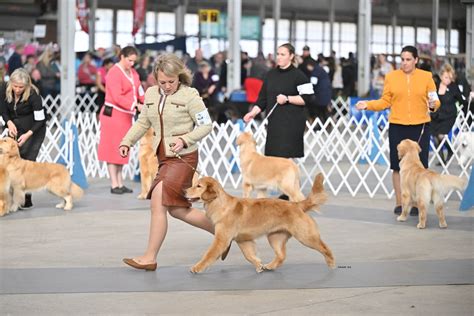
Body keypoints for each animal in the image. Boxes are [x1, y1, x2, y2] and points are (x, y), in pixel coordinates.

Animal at [183, 172, 336, 272]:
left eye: (198, 186)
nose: (183, 191)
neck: (220, 204)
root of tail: (297, 205)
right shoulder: (243, 240)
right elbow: (249, 255)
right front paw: (258, 265)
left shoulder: (222, 240)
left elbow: (208, 254)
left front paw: (197, 267)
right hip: (275, 237)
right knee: (281, 255)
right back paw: (270, 266)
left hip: (305, 236)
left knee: (325, 248)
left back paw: (331, 263)